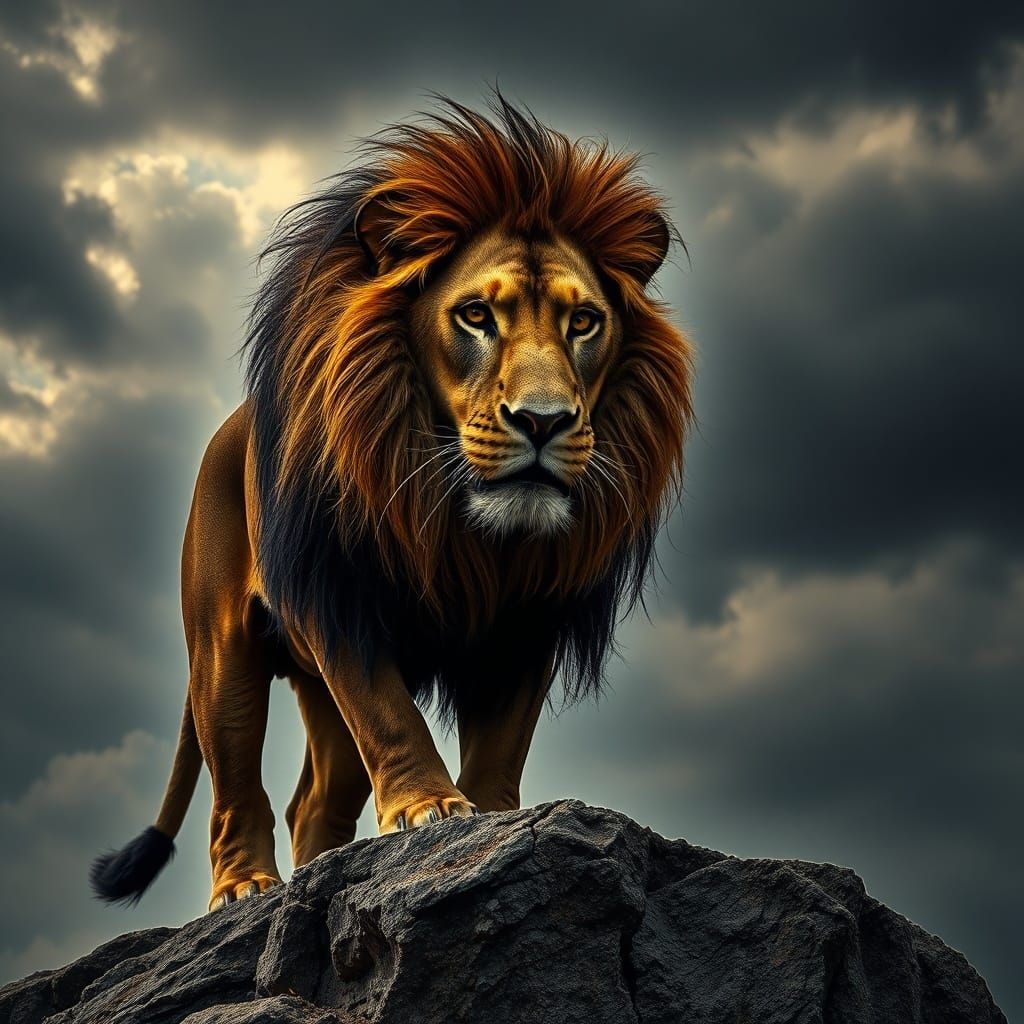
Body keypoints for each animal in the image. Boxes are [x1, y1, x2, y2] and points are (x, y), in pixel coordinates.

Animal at [90, 94, 694, 912]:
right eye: (476, 316)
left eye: (583, 321)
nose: (542, 422)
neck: (461, 522)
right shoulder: (341, 594)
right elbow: (388, 713)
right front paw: (430, 809)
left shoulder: (530, 616)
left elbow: (502, 739)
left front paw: (495, 819)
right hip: (223, 650)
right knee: (236, 787)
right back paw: (246, 888)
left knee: (315, 798)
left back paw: (322, 869)